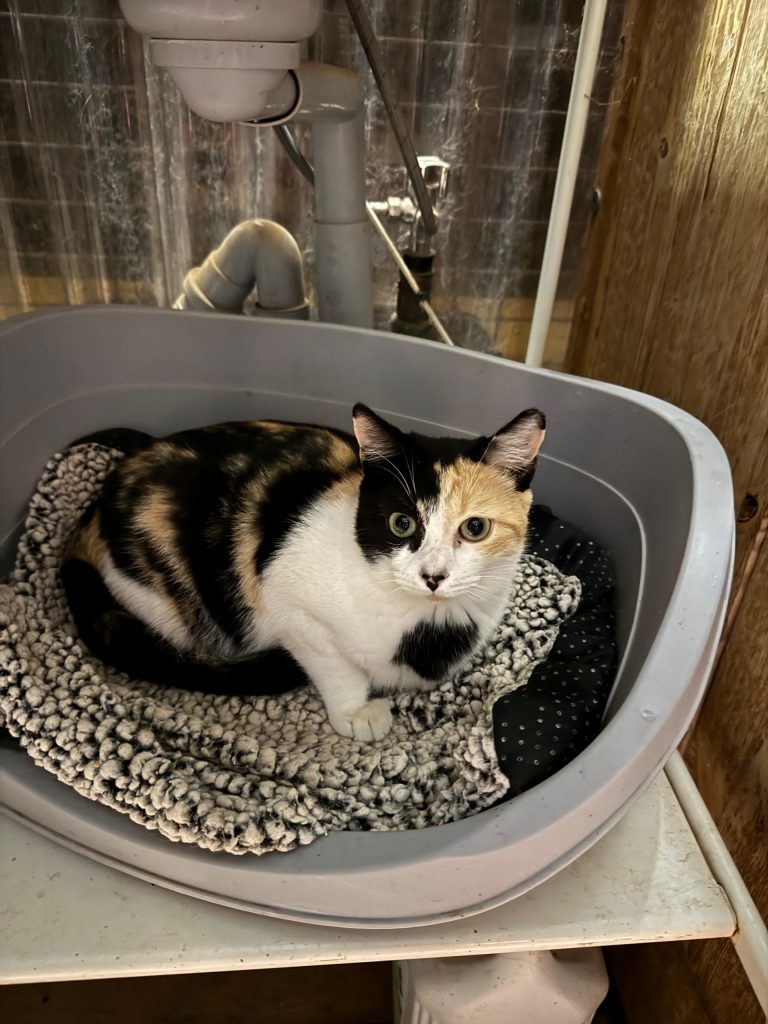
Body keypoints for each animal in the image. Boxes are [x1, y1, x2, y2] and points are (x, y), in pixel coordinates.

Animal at [62, 404, 545, 742]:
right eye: (401, 523)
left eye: (475, 528)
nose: (433, 575)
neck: (420, 625)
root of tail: (99, 502)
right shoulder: (290, 607)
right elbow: (334, 666)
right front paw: (355, 713)